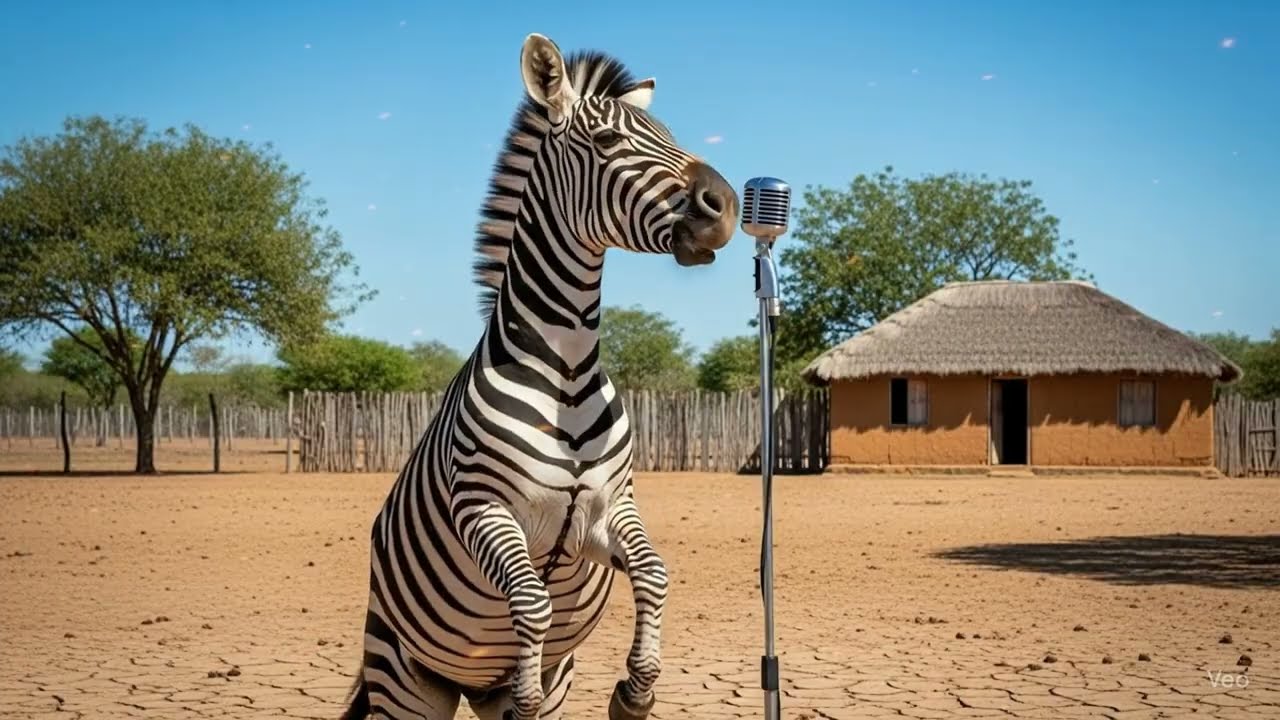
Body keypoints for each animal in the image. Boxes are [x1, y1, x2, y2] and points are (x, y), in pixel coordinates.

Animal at [340, 33, 738, 720]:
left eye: (668, 133)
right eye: (606, 141)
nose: (728, 208)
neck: (567, 371)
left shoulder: (608, 512)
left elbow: (655, 572)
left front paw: (636, 690)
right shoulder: (483, 507)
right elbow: (530, 599)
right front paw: (532, 689)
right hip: (404, 679)